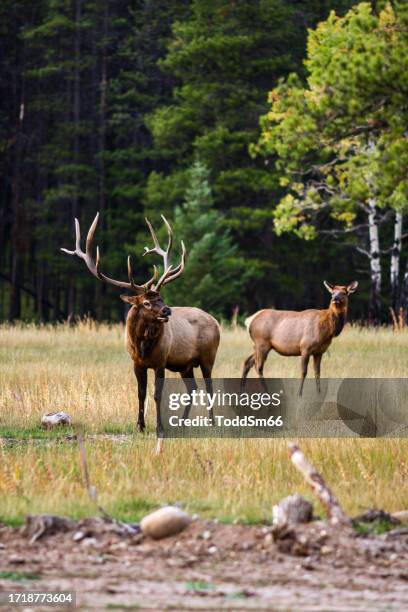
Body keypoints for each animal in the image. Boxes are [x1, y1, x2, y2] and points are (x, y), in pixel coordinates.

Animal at [61, 212, 220, 440]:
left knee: (209, 387)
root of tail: (215, 321)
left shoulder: (161, 360)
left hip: (208, 356)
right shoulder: (136, 362)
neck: (142, 346)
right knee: (192, 388)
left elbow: (156, 394)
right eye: (146, 302)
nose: (167, 311)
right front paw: (140, 426)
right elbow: (140, 393)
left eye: (161, 297)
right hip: (186, 364)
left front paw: (160, 427)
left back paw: (212, 422)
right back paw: (182, 423)